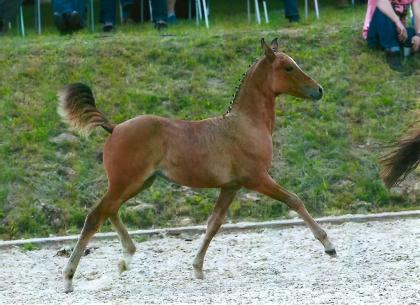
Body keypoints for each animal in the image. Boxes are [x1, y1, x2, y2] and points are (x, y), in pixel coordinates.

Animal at [60, 38, 334, 292]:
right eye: (288, 67)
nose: (319, 90)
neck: (245, 124)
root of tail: (114, 128)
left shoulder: (231, 186)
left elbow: (214, 223)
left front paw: (197, 267)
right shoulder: (257, 178)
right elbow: (293, 200)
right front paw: (328, 245)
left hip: (139, 183)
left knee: (110, 210)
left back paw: (126, 258)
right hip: (127, 181)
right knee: (96, 215)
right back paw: (69, 278)